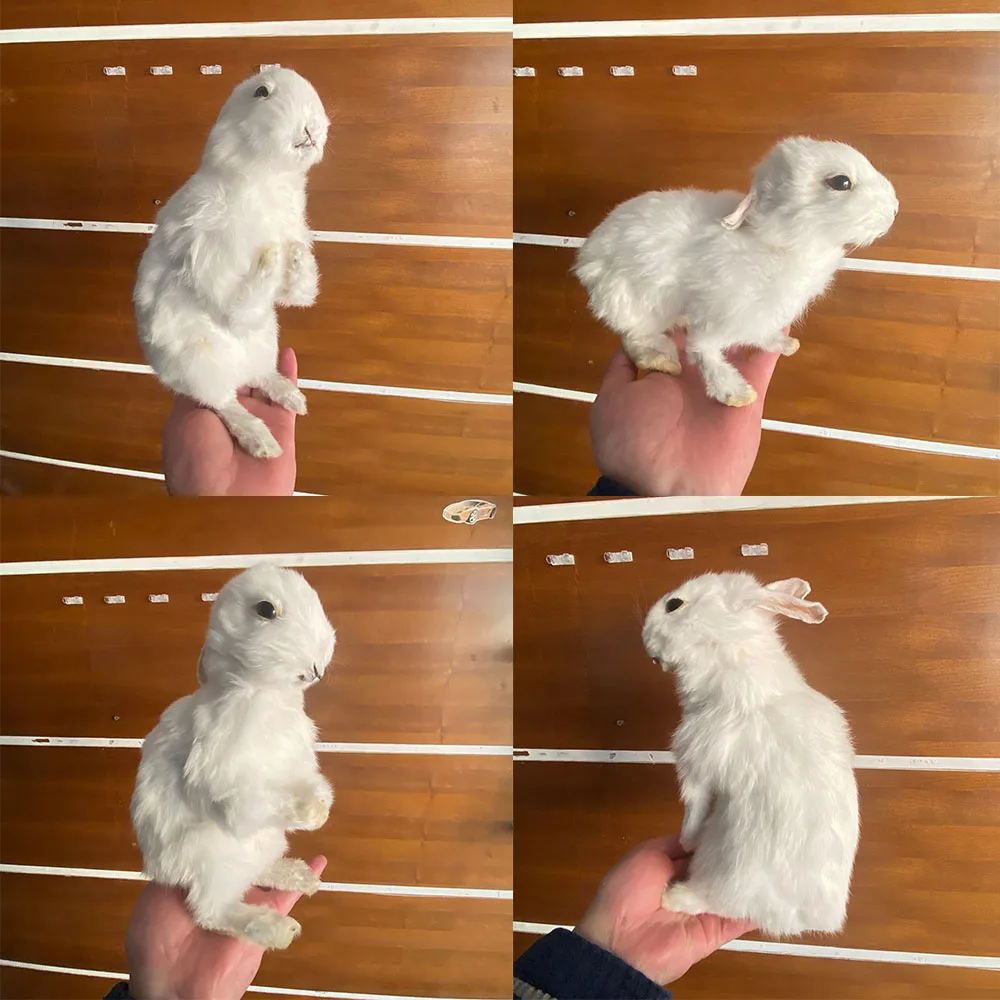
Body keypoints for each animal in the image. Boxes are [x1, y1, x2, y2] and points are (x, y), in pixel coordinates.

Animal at [130, 564, 336, 949]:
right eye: (266, 610)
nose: (317, 667)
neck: (265, 694)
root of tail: (163, 870)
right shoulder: (229, 782)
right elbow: (253, 805)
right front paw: (314, 814)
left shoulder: (296, 766)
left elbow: (305, 783)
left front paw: (321, 806)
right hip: (213, 857)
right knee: (211, 912)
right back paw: (278, 929)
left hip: (265, 843)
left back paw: (298, 876)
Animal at [134, 67, 330, 459]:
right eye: (262, 92)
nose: (311, 127)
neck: (268, 178)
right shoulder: (212, 260)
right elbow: (236, 307)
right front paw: (271, 255)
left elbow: (298, 293)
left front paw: (296, 252)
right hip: (200, 368)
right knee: (224, 403)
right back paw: (262, 442)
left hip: (265, 342)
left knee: (257, 376)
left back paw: (291, 397)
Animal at [575, 136, 898, 407]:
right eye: (841, 182)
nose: (895, 209)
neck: (777, 245)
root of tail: (586, 259)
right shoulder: (719, 317)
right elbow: (703, 351)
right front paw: (736, 395)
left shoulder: (760, 317)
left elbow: (762, 335)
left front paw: (784, 344)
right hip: (635, 305)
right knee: (635, 339)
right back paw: (663, 361)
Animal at [642, 571, 859, 937]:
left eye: (674, 604)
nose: (644, 636)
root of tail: (809, 919)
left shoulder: (696, 768)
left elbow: (694, 808)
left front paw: (685, 842)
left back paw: (673, 897)